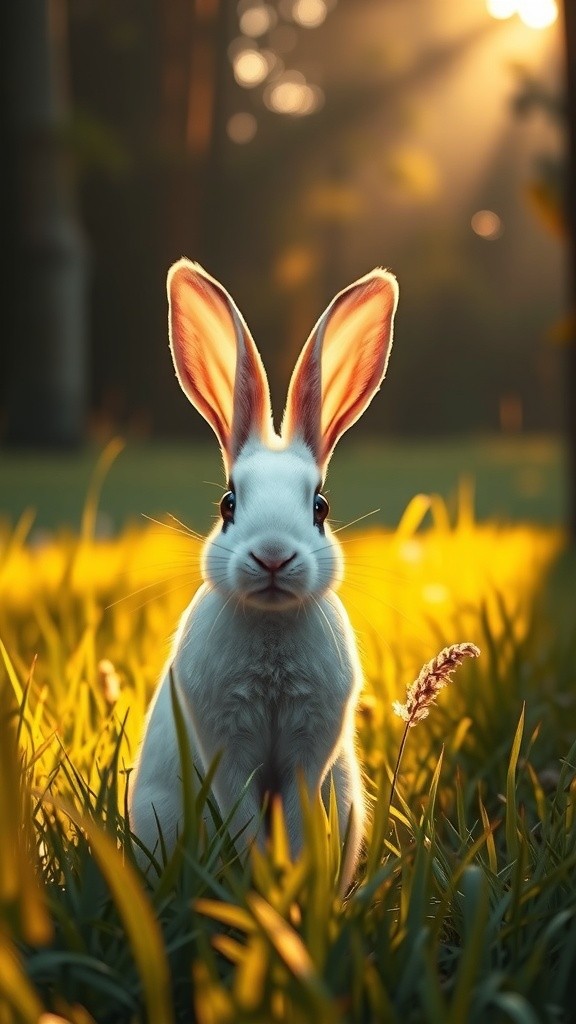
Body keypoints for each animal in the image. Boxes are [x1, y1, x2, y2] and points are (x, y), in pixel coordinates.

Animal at [129, 258, 399, 891]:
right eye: (229, 504)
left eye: (320, 506)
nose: (273, 556)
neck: (272, 626)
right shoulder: (228, 746)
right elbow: (245, 816)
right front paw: (265, 884)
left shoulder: (308, 749)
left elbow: (298, 818)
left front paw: (293, 884)